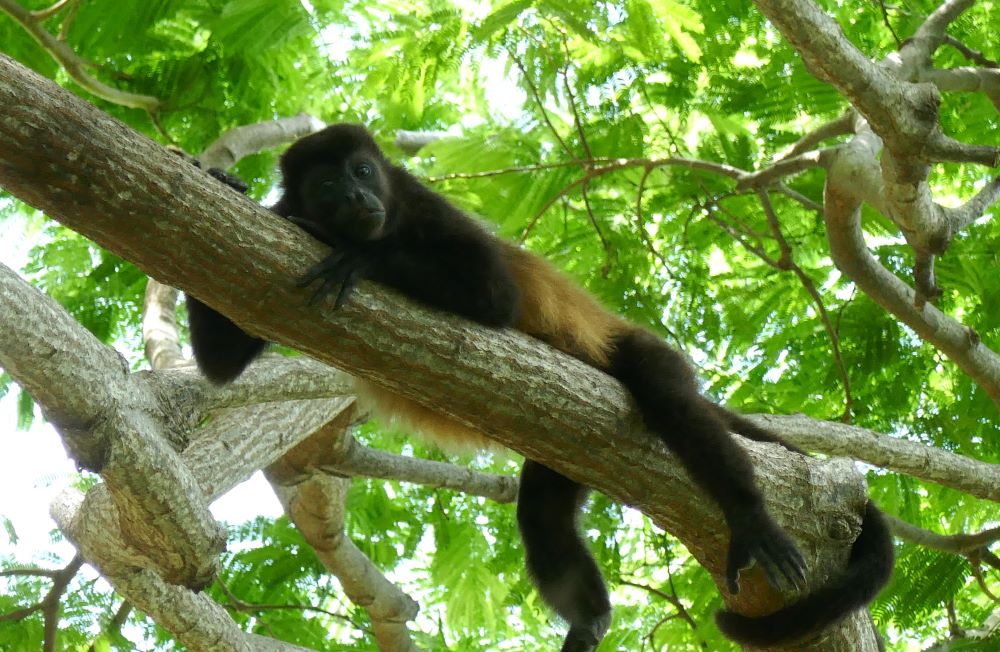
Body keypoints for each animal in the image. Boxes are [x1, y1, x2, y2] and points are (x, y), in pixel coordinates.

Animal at [186, 125, 892, 648]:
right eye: (328, 183)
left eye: (362, 172)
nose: (357, 200)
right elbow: (222, 362)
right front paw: (222, 181)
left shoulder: (416, 200)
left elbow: (493, 293)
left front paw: (357, 255)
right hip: (564, 454)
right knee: (543, 519)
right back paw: (590, 619)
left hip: (643, 356)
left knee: (672, 403)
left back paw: (747, 517)